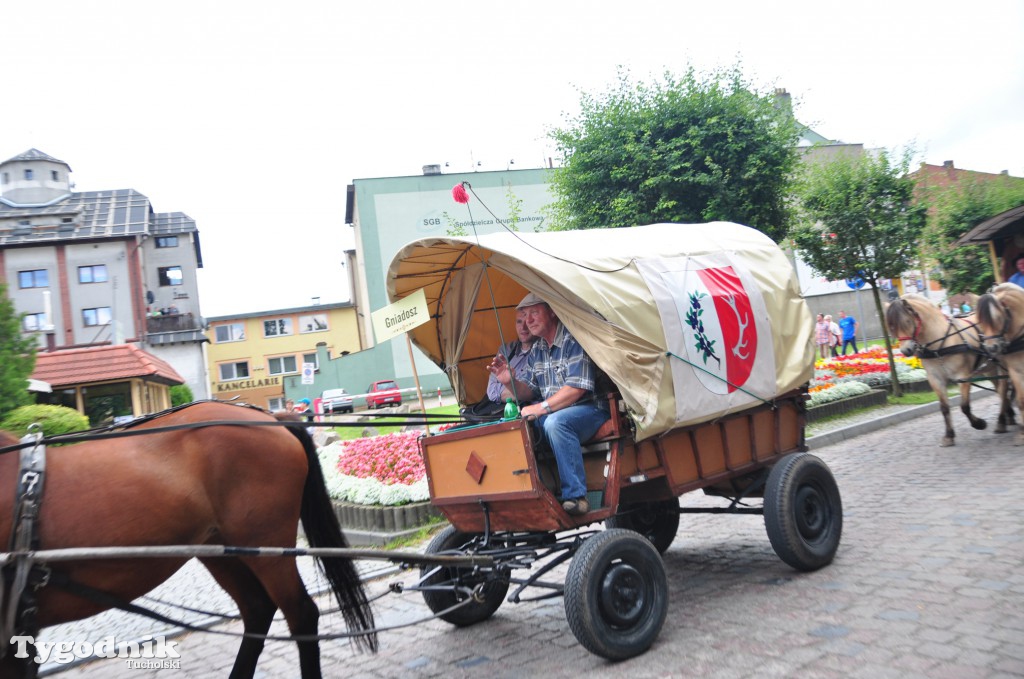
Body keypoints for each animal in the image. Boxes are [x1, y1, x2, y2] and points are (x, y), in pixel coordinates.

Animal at [884, 292, 1011, 446]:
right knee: (1000, 389)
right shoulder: (935, 379)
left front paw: (979, 423)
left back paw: (1002, 421)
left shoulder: (963, 376)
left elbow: (964, 406)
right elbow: (944, 408)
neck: (939, 344)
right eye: (891, 326)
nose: (906, 350)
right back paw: (1009, 417)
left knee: (1003, 390)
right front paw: (949, 435)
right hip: (990, 368)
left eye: (907, 321)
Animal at [970, 282, 1024, 446]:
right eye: (980, 321)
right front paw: (1022, 433)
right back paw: (1002, 422)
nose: (991, 348)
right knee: (1002, 390)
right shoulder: (1015, 370)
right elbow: (1021, 399)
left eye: (998, 317)